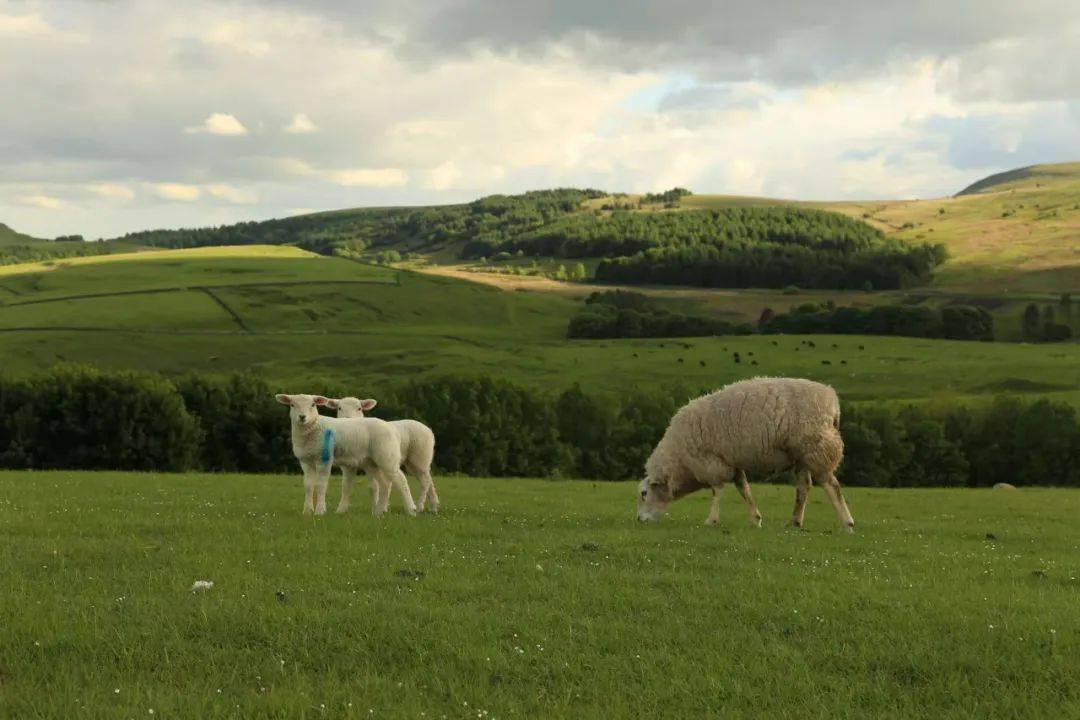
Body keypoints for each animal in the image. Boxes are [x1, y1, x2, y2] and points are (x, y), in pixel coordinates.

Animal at [274, 395, 416, 518]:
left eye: (313, 405)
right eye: (292, 405)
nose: (302, 417)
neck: (313, 427)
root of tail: (391, 428)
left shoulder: (324, 458)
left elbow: (321, 484)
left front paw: (320, 511)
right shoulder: (306, 461)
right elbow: (308, 486)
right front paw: (307, 512)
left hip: (387, 455)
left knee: (401, 480)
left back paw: (411, 510)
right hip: (372, 462)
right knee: (384, 484)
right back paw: (378, 512)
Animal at [635, 379, 855, 533]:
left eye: (644, 493)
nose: (639, 520)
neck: (679, 462)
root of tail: (832, 401)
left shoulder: (711, 462)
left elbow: (717, 490)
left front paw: (711, 520)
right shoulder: (731, 463)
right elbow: (744, 489)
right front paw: (756, 519)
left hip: (817, 447)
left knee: (831, 485)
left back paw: (847, 523)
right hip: (801, 456)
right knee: (803, 488)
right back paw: (795, 521)